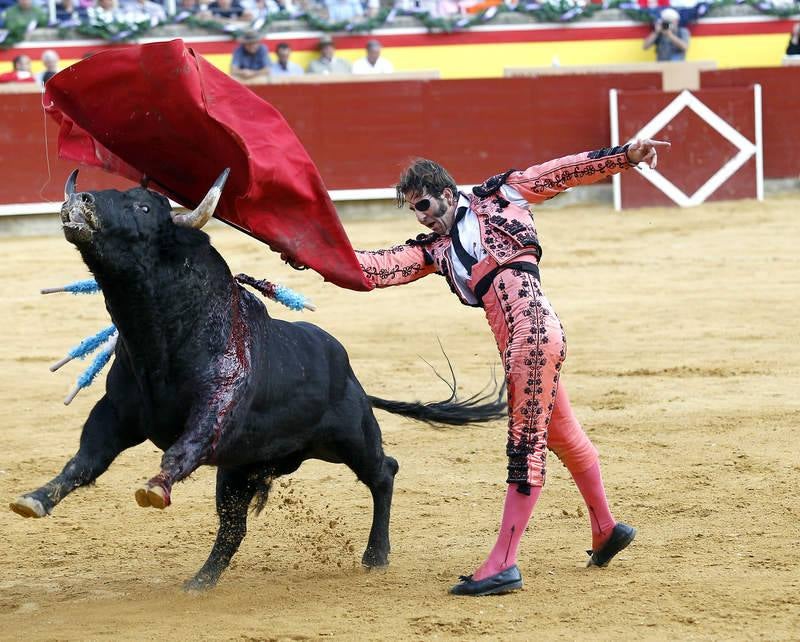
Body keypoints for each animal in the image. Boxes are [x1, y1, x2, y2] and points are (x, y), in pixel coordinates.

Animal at [9, 171, 504, 592]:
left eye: (145, 207)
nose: (81, 201)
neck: (159, 339)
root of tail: (348, 370)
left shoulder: (216, 404)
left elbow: (182, 447)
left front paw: (156, 487)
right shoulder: (115, 415)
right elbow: (84, 461)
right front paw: (34, 499)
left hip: (349, 438)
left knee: (384, 472)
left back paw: (375, 556)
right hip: (240, 468)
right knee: (234, 527)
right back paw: (200, 583)